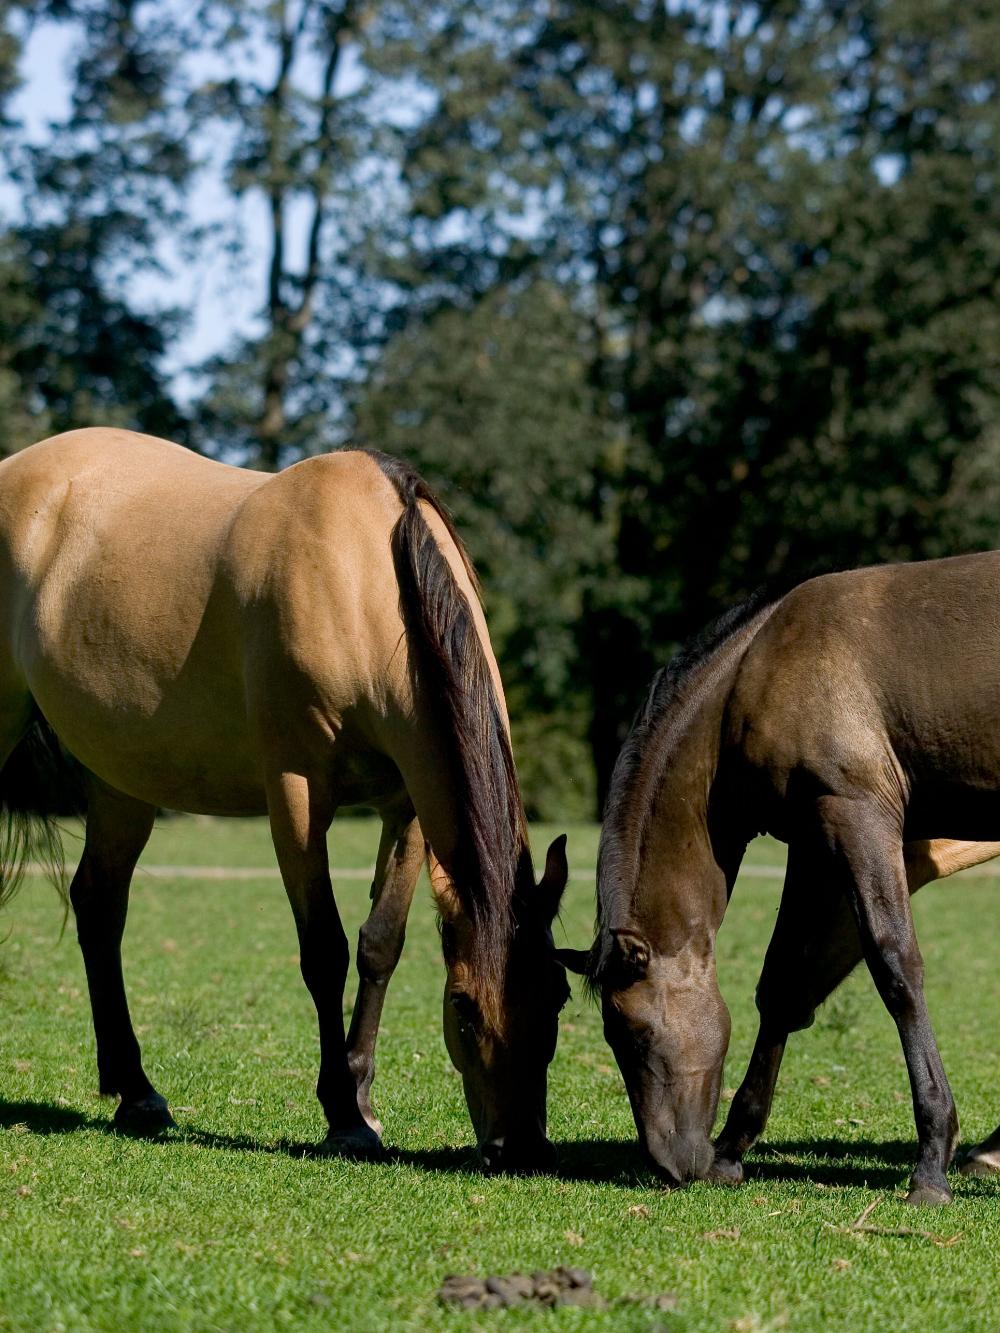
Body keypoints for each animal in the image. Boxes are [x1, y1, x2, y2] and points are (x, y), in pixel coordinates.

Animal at [0, 426, 570, 1167]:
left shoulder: (408, 805)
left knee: (99, 905)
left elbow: (380, 944)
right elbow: (324, 948)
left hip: (123, 779)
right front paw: (343, 1113)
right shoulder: (297, 794)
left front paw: (359, 1093)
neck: (361, 575)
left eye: (559, 997)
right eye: (464, 1010)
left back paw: (137, 1092)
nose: (520, 1147)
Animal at [560, 557, 1000, 1205]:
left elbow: (896, 969)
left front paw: (931, 1162)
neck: (758, 666)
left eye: (633, 1034)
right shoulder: (816, 843)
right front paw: (731, 1148)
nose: (668, 1165)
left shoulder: (855, 815)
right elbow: (784, 986)